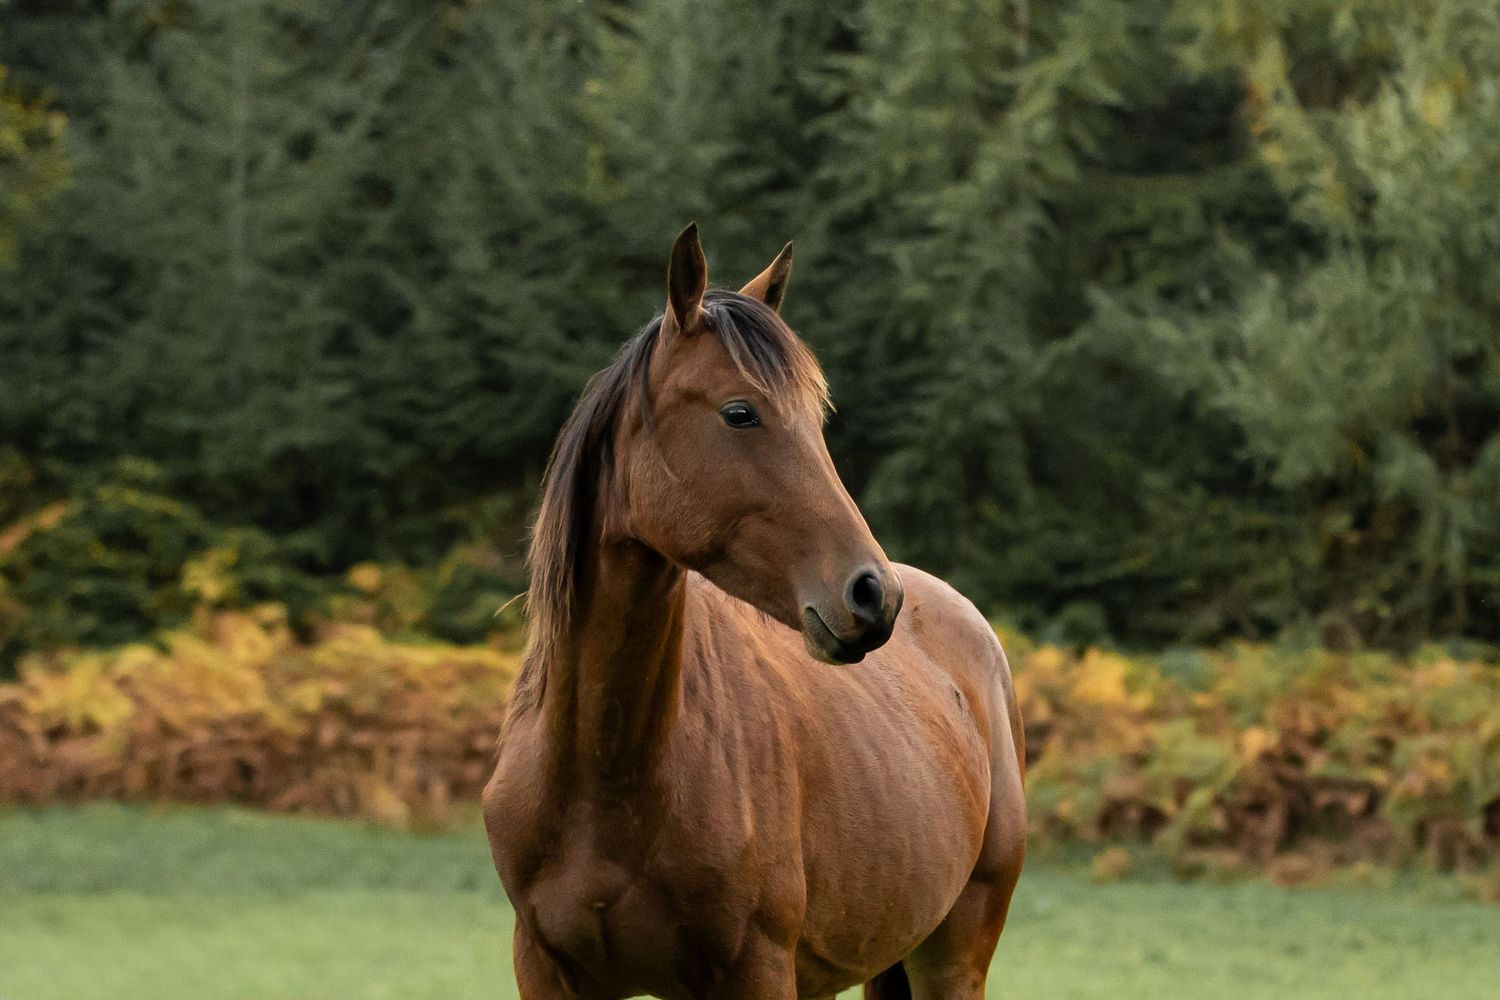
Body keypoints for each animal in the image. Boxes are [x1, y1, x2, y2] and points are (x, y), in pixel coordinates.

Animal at [483, 224, 1026, 1000]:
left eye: (816, 422)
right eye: (740, 413)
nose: (873, 594)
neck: (603, 778)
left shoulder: (756, 969)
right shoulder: (546, 969)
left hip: (955, 957)